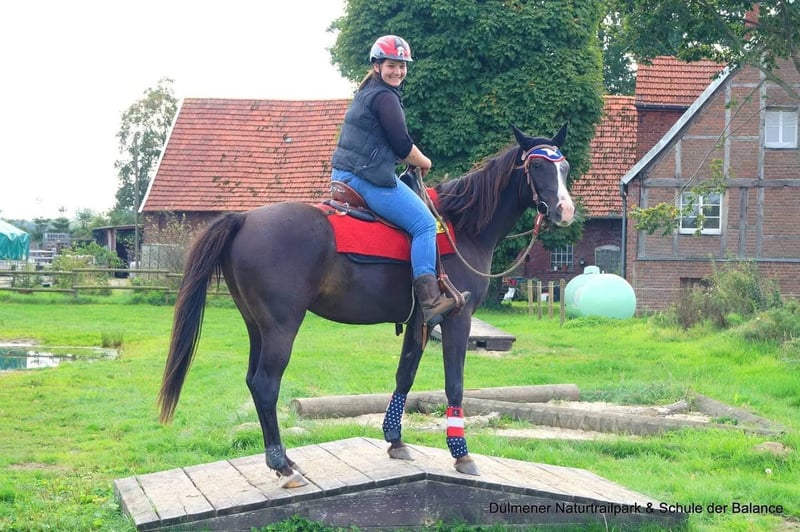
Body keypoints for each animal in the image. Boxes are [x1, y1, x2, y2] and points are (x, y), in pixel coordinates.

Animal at [158, 123, 575, 488]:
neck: (462, 228)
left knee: (252, 381)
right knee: (265, 384)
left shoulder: (419, 321)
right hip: (281, 327)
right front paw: (461, 453)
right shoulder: (458, 319)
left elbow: (404, 375)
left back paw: (284, 461)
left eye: (565, 167)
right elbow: (454, 384)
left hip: (255, 326)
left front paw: (395, 440)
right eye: (538, 166)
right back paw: (283, 466)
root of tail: (244, 218)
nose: (564, 210)